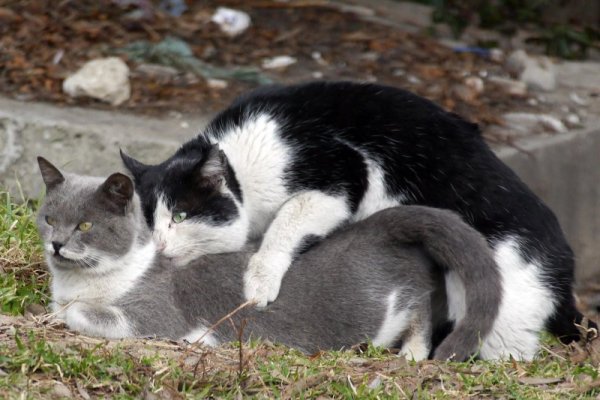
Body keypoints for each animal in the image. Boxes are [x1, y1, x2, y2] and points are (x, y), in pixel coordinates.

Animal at [34, 157, 502, 362]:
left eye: (85, 226)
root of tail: (375, 226)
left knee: (423, 300)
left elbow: (86, 314)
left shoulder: (154, 315)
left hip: (396, 302)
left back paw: (414, 352)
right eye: (49, 218)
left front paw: (61, 315)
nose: (56, 244)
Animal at [119, 80, 588, 356]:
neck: (241, 161)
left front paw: (260, 279)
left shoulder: (344, 171)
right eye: (147, 221)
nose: (157, 245)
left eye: (180, 215)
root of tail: (566, 271)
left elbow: (290, 217)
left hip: (500, 307)